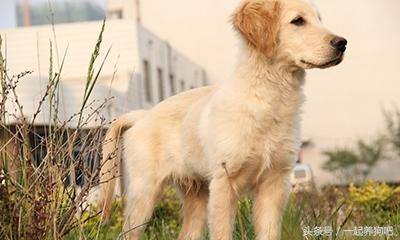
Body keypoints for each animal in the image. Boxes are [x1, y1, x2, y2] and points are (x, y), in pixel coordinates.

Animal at [97, 0, 346, 239]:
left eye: (319, 19)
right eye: (298, 21)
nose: (343, 43)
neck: (268, 98)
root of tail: (142, 115)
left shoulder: (275, 183)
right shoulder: (224, 184)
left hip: (196, 195)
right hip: (144, 193)